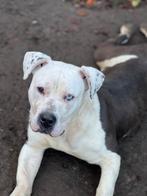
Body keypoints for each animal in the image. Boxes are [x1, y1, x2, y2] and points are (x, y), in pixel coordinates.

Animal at [9, 51, 146, 196]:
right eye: (40, 89)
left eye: (69, 97)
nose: (46, 119)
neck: (68, 129)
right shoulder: (33, 147)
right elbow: (23, 182)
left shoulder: (112, 158)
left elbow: (104, 189)